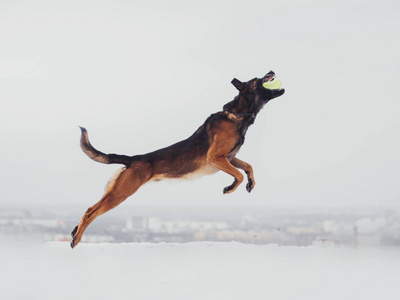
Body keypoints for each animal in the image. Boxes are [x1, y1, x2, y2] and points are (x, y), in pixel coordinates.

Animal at [71, 71, 284, 248]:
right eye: (257, 78)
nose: (271, 71)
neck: (238, 113)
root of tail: (133, 159)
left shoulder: (230, 158)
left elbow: (248, 166)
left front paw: (250, 183)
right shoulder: (216, 158)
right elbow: (238, 174)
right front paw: (230, 188)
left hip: (117, 191)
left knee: (90, 209)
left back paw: (74, 232)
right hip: (121, 193)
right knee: (91, 212)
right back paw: (76, 238)